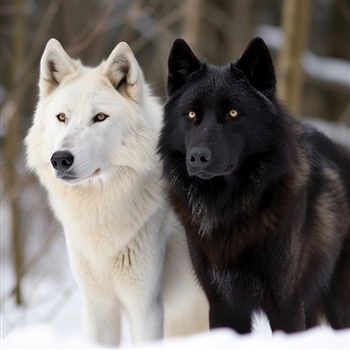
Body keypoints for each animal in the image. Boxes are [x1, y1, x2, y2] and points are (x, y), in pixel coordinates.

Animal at [159, 36, 350, 334]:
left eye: (233, 112)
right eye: (190, 115)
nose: (198, 157)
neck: (229, 207)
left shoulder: (285, 304)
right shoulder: (222, 305)